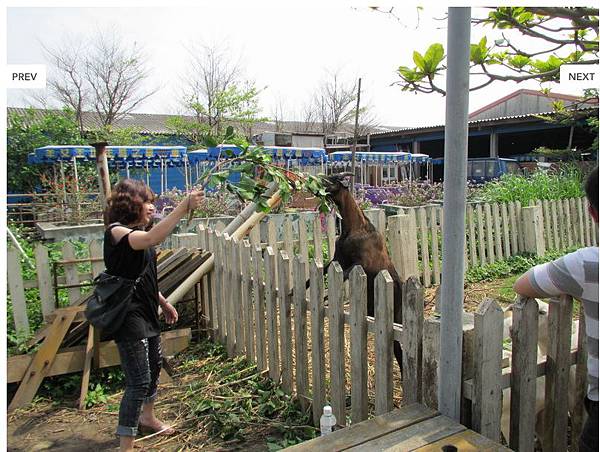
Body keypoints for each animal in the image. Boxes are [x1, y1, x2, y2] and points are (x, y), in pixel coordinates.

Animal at [318, 172, 404, 370]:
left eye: (333, 179)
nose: (317, 182)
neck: (354, 227)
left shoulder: (362, 264)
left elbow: (345, 274)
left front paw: (325, 296)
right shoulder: (337, 260)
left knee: (399, 349)